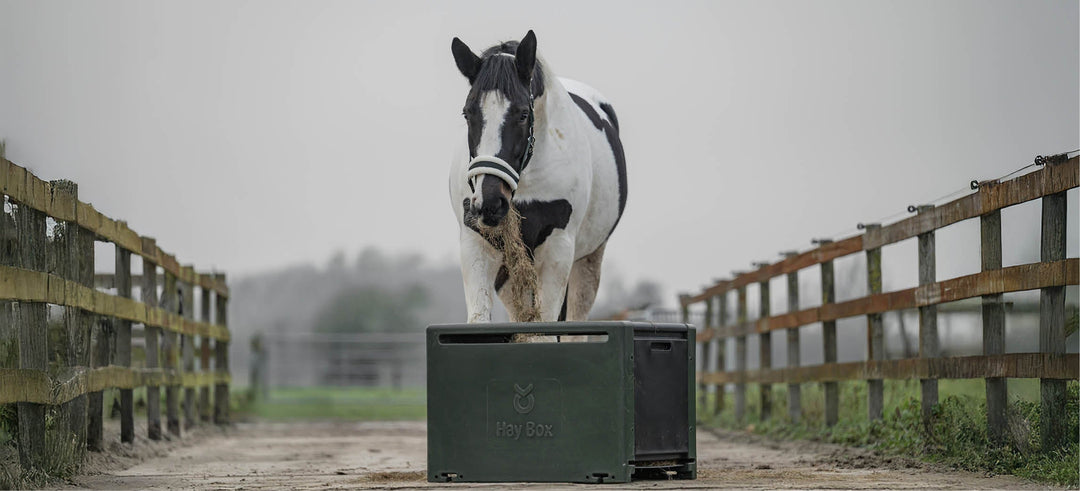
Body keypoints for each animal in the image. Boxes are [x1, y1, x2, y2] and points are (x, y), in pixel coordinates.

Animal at [448, 30, 627, 323]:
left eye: (523, 114)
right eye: (467, 113)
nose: (490, 203)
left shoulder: (558, 251)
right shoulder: (476, 245)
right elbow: (480, 319)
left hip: (588, 261)